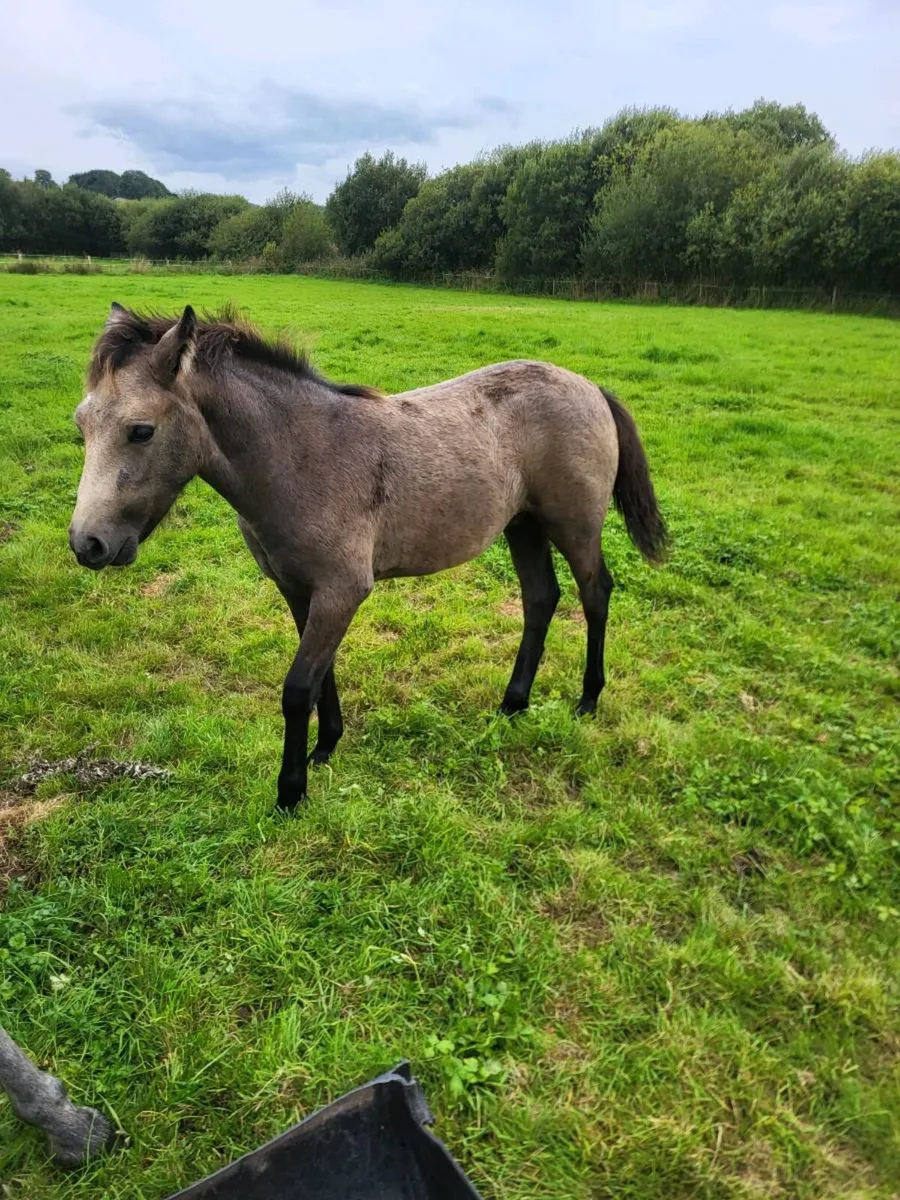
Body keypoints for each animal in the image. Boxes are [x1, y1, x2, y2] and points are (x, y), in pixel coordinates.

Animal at [69, 302, 667, 812]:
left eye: (141, 430)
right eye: (81, 425)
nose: (86, 543)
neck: (304, 457)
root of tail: (590, 387)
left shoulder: (343, 589)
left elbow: (297, 688)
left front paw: (290, 793)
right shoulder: (298, 588)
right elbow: (319, 674)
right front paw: (324, 750)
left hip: (575, 526)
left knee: (595, 594)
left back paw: (587, 701)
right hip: (523, 527)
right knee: (541, 599)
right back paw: (512, 704)